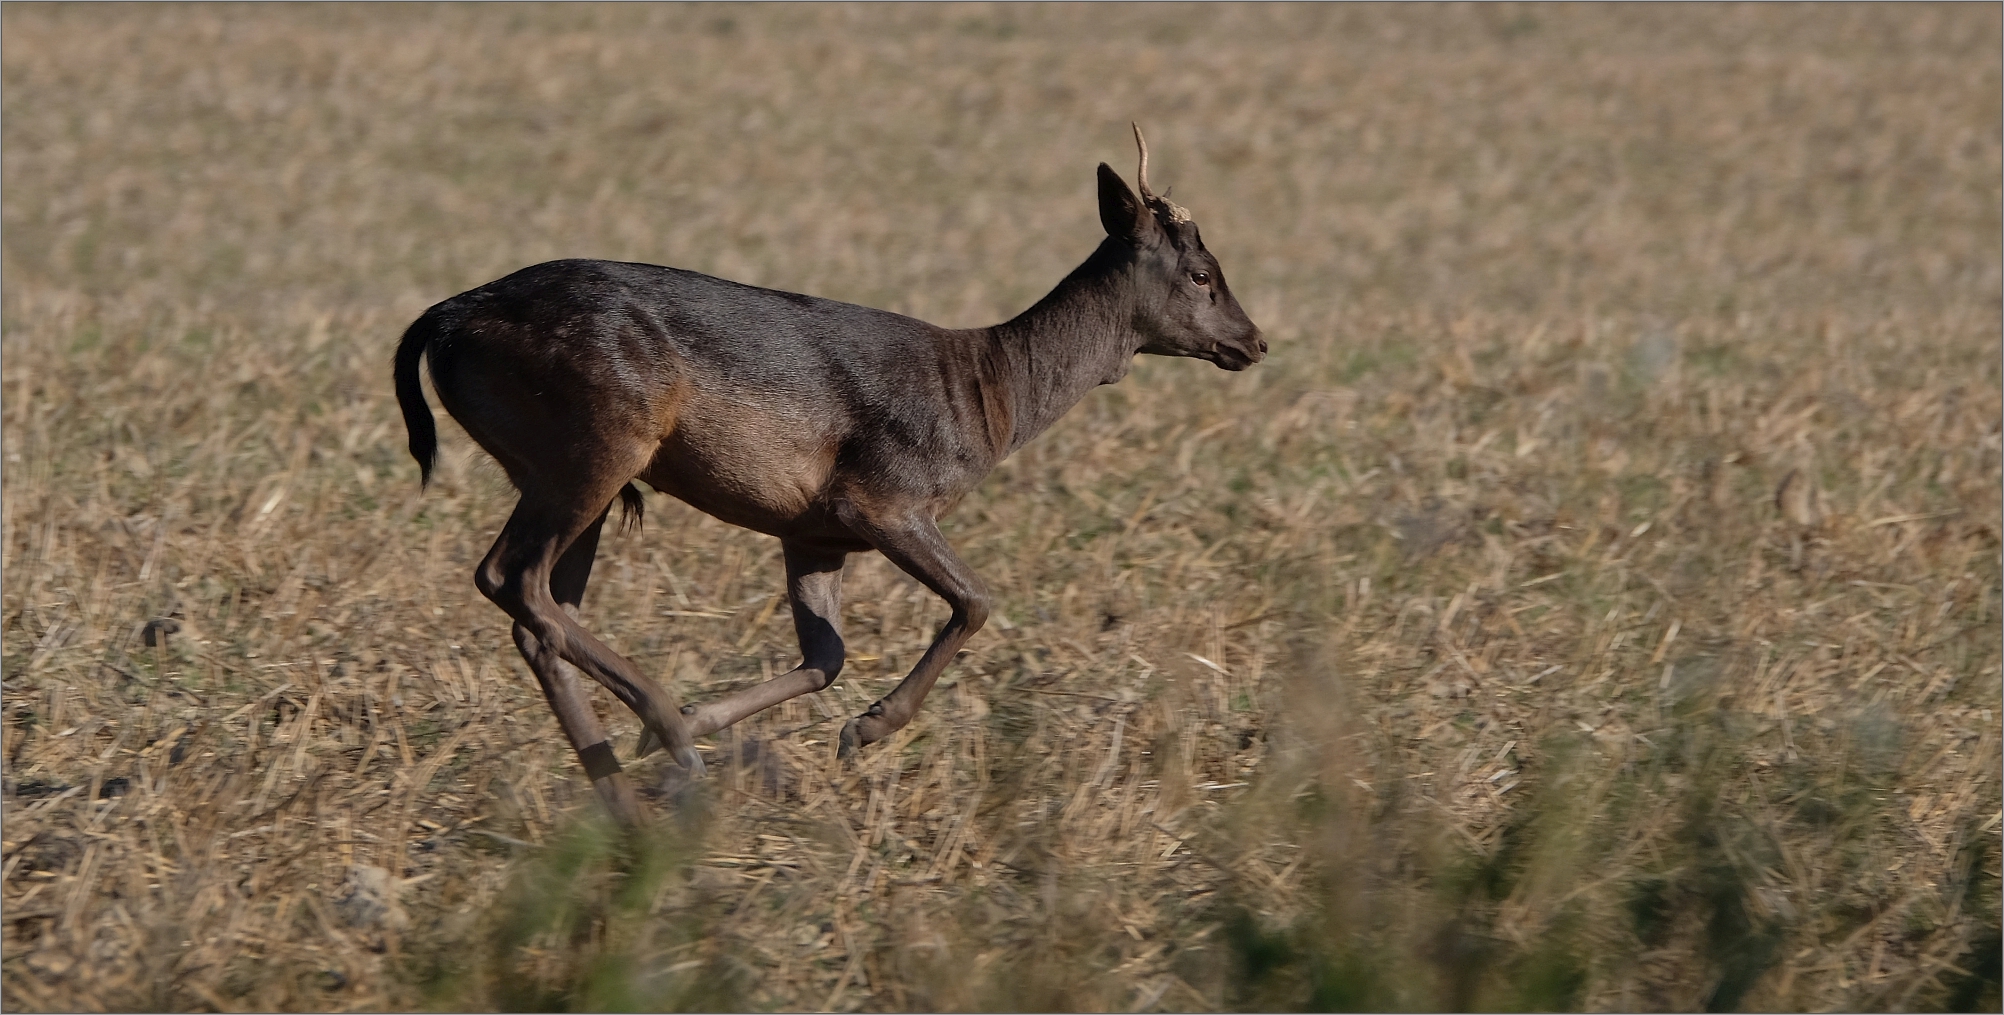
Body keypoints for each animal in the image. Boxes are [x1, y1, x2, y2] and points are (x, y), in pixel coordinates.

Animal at [394, 126, 1266, 826]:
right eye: (1200, 271)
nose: (1254, 342)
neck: (991, 396)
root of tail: (444, 318)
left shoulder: (813, 533)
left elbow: (827, 655)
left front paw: (711, 721)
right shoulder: (882, 496)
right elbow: (976, 600)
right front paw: (864, 728)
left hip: (567, 468)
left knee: (540, 610)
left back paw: (628, 785)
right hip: (595, 441)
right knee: (511, 577)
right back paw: (666, 734)